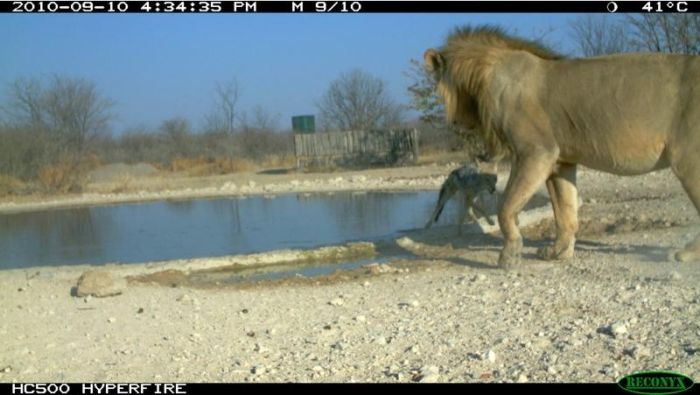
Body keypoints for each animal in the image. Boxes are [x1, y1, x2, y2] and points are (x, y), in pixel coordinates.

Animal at [422, 25, 700, 270]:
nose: (454, 122)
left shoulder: (536, 152)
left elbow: (506, 207)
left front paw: (509, 256)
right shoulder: (559, 162)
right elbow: (564, 212)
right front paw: (559, 252)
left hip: (689, 160)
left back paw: (686, 254)